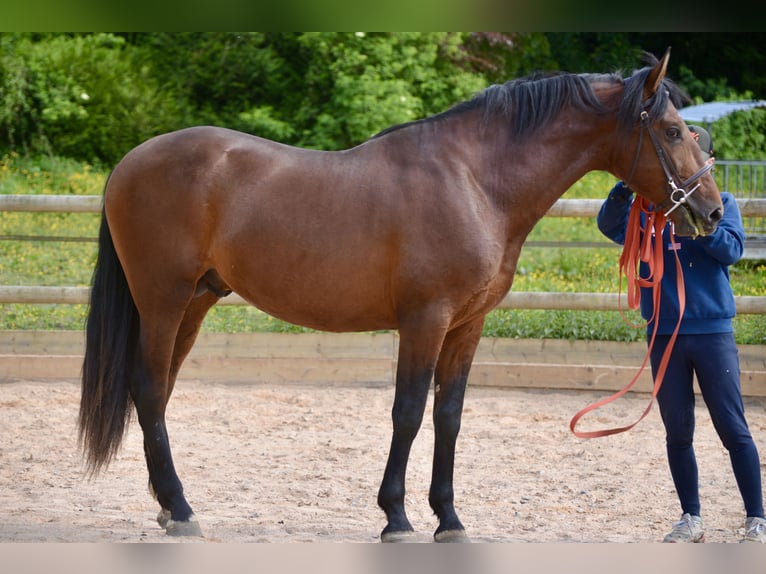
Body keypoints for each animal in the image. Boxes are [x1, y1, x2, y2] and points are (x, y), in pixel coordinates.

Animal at [78, 49, 722, 542]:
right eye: (672, 131)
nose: (711, 212)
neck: (474, 181)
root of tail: (129, 162)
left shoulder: (466, 326)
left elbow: (449, 415)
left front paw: (449, 519)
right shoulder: (425, 320)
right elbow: (408, 412)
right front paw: (397, 517)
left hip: (194, 302)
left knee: (159, 393)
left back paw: (168, 507)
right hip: (162, 300)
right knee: (147, 389)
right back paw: (183, 510)